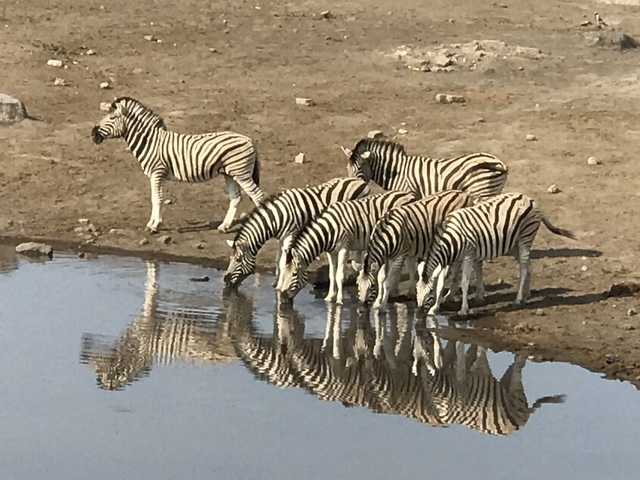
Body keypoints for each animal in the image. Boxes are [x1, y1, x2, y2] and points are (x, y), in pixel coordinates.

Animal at [91, 97, 265, 233]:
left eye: (112, 118)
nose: (93, 134)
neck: (151, 142)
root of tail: (250, 140)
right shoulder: (156, 175)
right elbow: (155, 198)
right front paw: (152, 223)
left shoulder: (157, 173)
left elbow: (157, 198)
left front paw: (154, 226)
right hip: (230, 173)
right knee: (236, 197)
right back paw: (224, 226)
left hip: (241, 173)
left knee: (258, 196)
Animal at [223, 177, 370, 290]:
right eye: (230, 259)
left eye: (238, 260)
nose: (225, 281)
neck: (277, 217)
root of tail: (360, 181)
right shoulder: (281, 237)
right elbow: (278, 259)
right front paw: (275, 282)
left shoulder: (290, 234)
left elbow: (283, 261)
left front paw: (279, 285)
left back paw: (356, 268)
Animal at [279, 190, 419, 304]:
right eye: (283, 273)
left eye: (294, 274)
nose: (281, 298)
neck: (328, 230)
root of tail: (411, 195)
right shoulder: (331, 252)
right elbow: (332, 274)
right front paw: (330, 297)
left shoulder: (344, 248)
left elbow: (339, 275)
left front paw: (339, 300)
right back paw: (398, 291)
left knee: (409, 264)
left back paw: (403, 292)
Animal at [341, 138, 508, 201]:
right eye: (347, 168)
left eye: (360, 168)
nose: (352, 187)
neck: (396, 171)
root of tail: (499, 162)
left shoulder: (408, 193)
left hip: (483, 192)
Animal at [415, 192, 576, 316]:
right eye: (416, 291)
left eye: (429, 294)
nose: (418, 312)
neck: (450, 239)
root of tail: (530, 199)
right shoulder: (452, 259)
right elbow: (443, 282)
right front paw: (435, 309)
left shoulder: (468, 255)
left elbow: (464, 282)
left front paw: (463, 310)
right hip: (514, 244)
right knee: (528, 265)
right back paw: (526, 296)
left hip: (526, 237)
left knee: (524, 268)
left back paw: (518, 300)